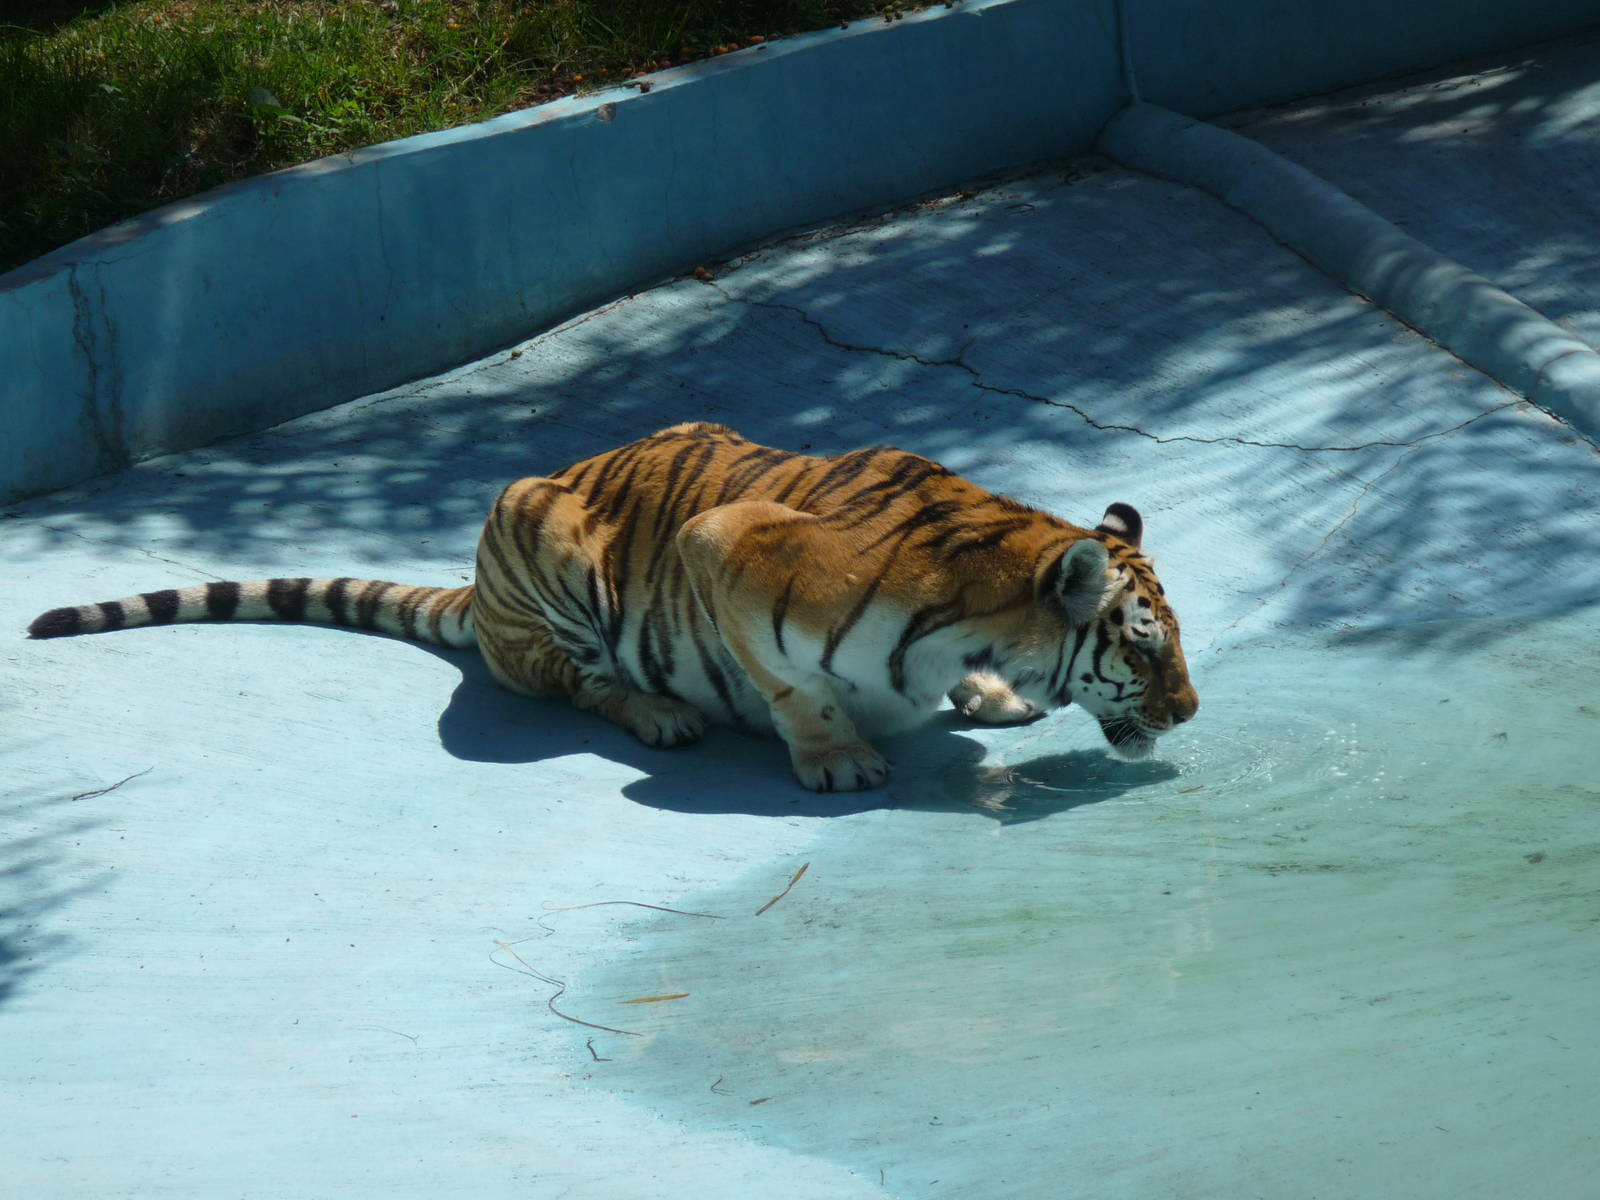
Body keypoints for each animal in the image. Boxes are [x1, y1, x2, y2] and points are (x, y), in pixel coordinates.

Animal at [28, 422, 1197, 791]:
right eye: (1142, 651)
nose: (1189, 713)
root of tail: (477, 590)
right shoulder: (722, 548)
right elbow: (793, 689)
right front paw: (835, 759)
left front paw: (990, 694)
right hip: (540, 532)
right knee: (571, 682)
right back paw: (662, 714)